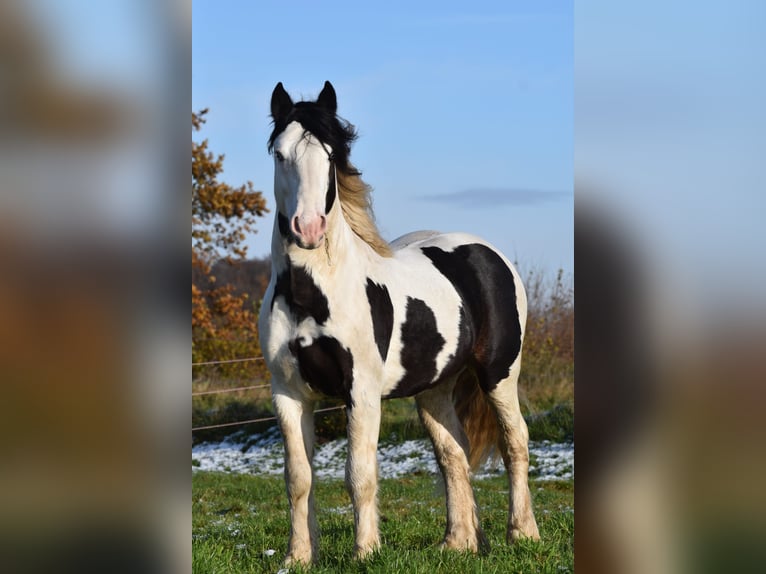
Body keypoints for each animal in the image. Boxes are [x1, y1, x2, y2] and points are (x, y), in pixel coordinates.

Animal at [258, 81, 540, 568]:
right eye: (280, 154)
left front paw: (365, 552)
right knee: (453, 453)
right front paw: (298, 557)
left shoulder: (362, 392)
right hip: (434, 389)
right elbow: (298, 478)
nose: (308, 229)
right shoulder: (288, 393)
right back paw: (459, 543)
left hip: (500, 374)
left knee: (515, 443)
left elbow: (360, 474)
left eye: (330, 155)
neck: (312, 293)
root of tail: (487, 253)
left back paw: (522, 532)